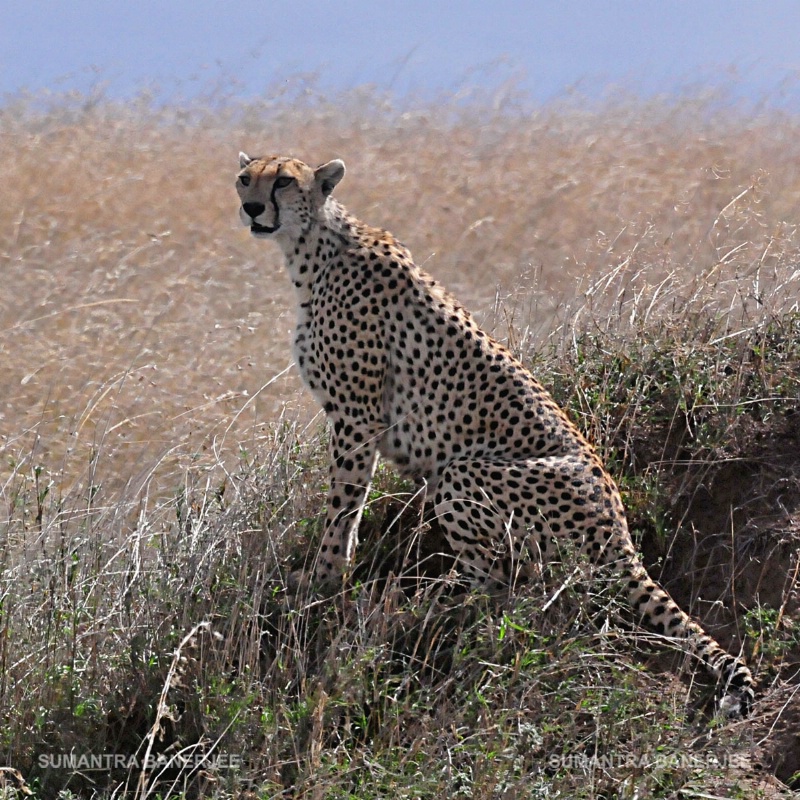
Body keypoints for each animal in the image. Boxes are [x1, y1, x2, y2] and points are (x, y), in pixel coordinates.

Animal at [234, 153, 752, 716]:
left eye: (285, 181)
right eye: (245, 179)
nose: (252, 207)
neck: (313, 247)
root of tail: (620, 530)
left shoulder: (358, 417)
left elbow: (342, 508)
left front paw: (323, 579)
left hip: (461, 476)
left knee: (508, 591)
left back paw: (431, 610)